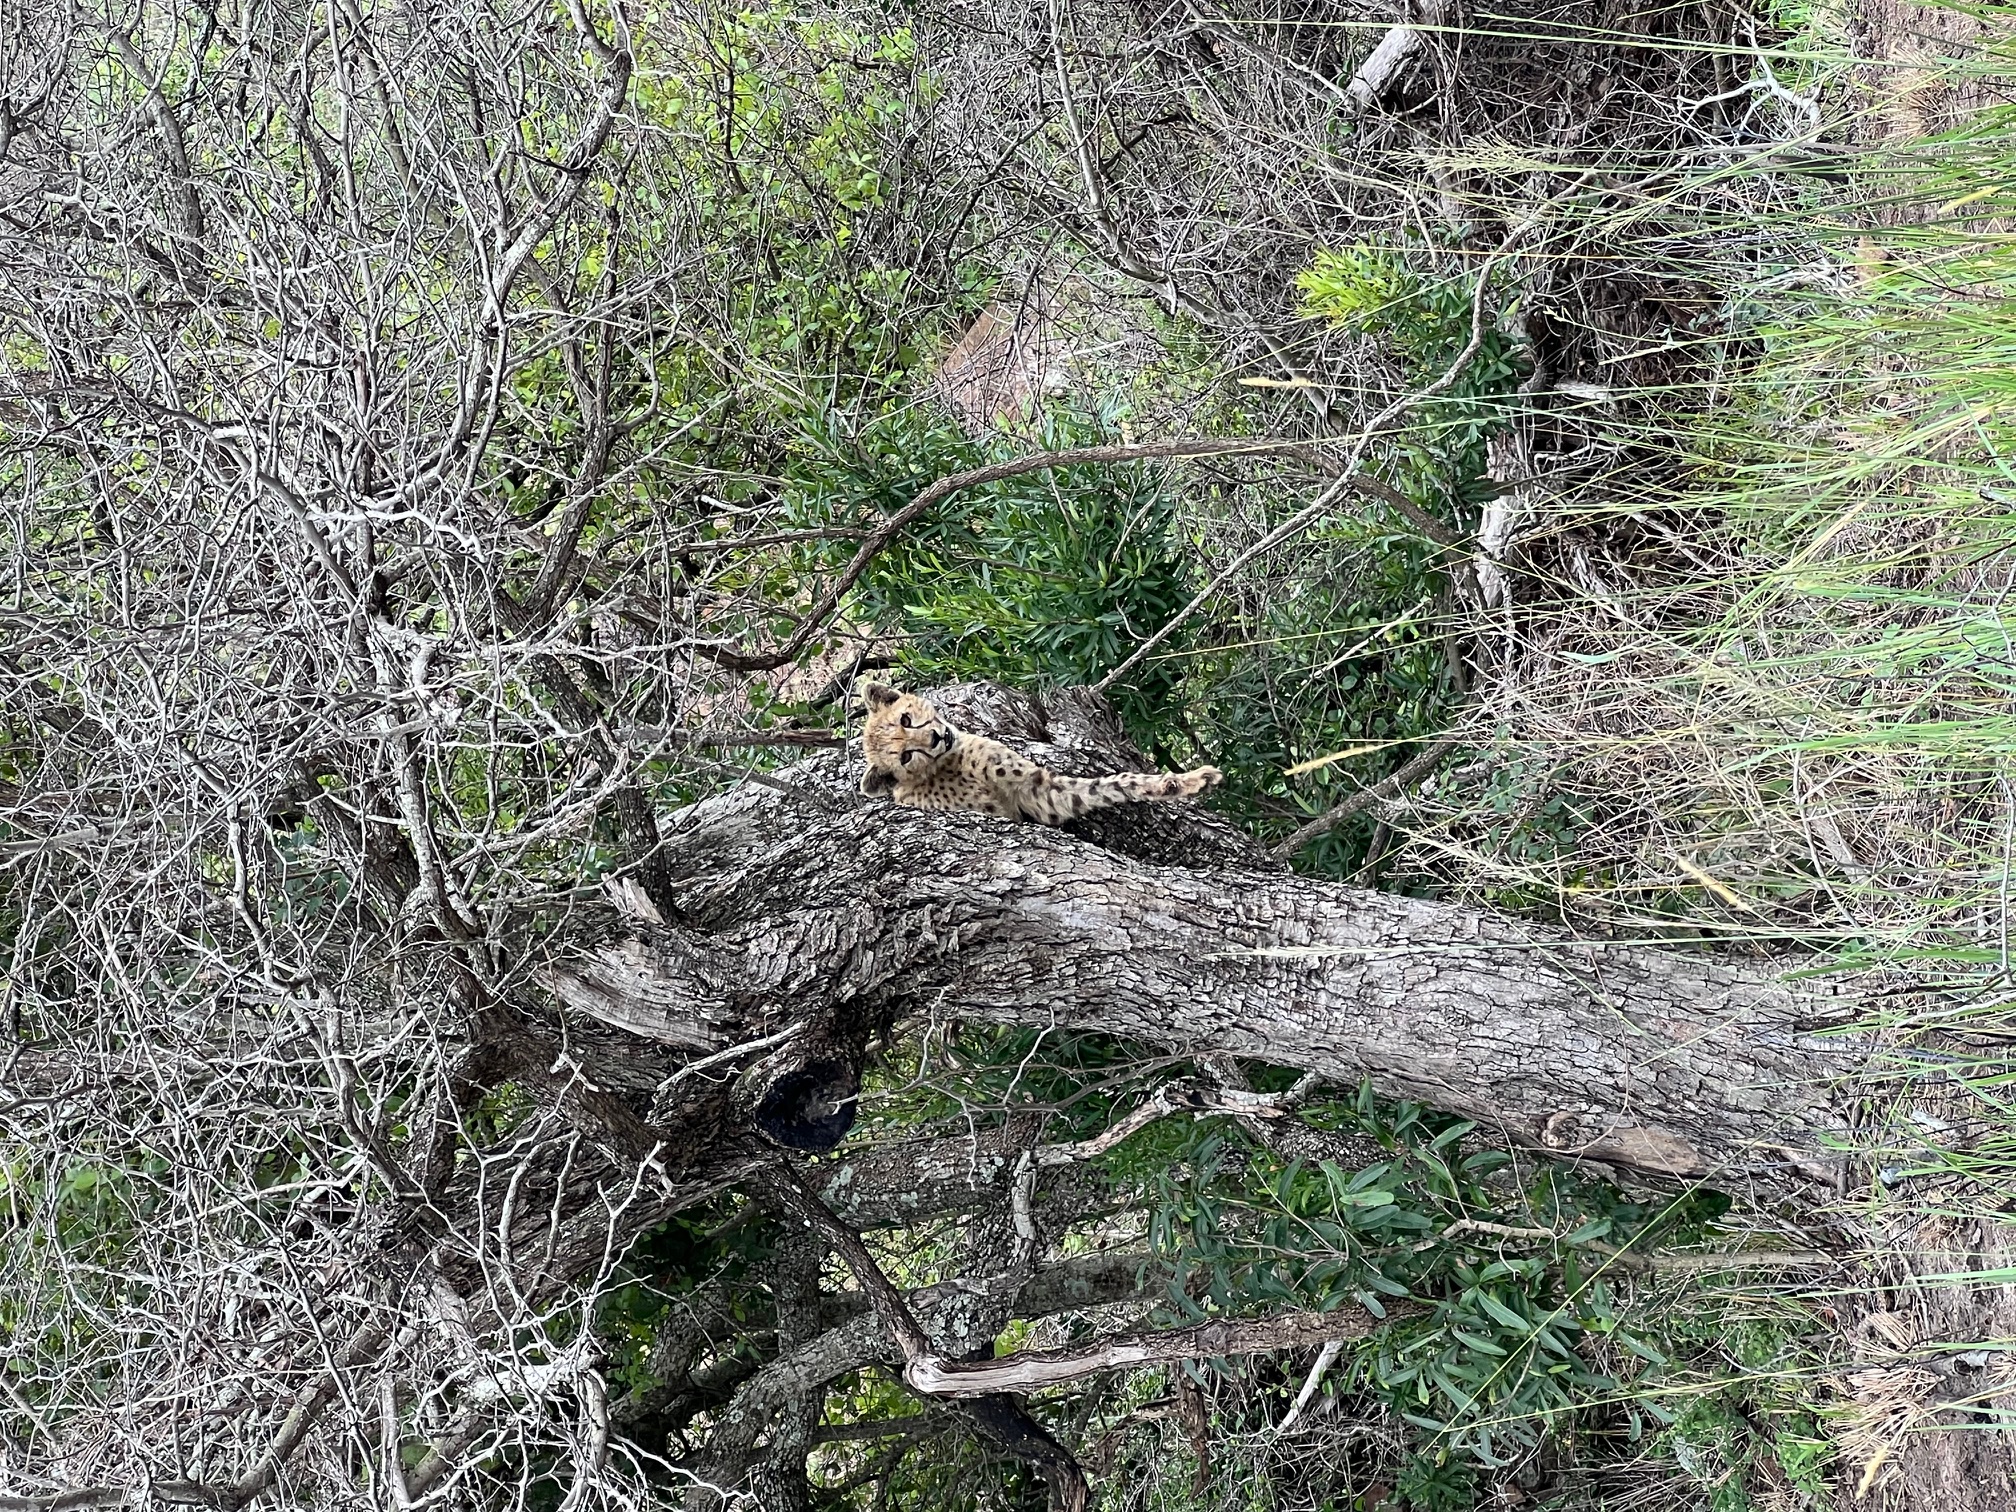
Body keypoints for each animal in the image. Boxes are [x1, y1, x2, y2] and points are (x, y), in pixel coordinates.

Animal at [857, 682, 1222, 824]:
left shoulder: (1037, 789)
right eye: (904, 757)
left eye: (905, 719)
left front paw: (1188, 781)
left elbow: (1116, 783)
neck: (950, 764)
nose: (934, 738)